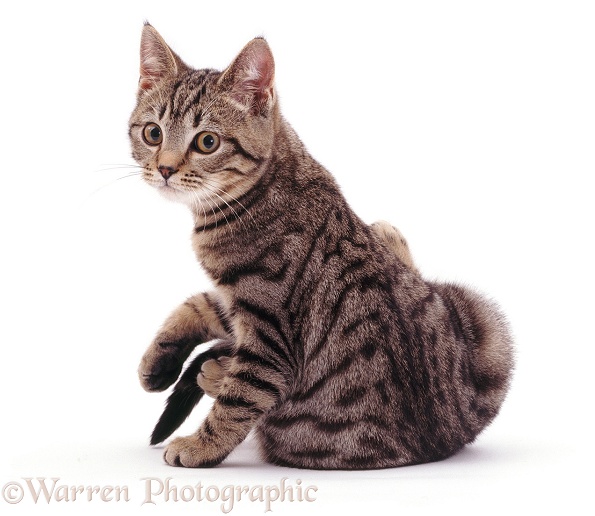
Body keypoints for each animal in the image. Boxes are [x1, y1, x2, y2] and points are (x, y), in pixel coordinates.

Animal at [129, 22, 512, 470]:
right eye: (152, 133)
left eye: (207, 142)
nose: (165, 169)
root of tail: (443, 441)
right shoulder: (236, 298)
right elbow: (200, 302)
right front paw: (155, 361)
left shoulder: (270, 332)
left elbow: (240, 400)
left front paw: (200, 445)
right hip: (486, 326)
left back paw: (216, 372)